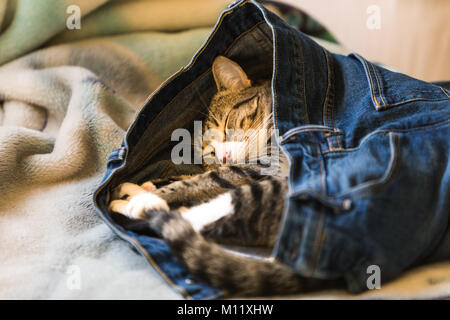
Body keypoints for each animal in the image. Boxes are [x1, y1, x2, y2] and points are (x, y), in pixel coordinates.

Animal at [109, 55, 342, 298]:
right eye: (210, 153)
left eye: (227, 123)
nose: (223, 157)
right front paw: (142, 187)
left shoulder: (263, 166)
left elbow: (204, 181)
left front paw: (145, 196)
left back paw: (137, 206)